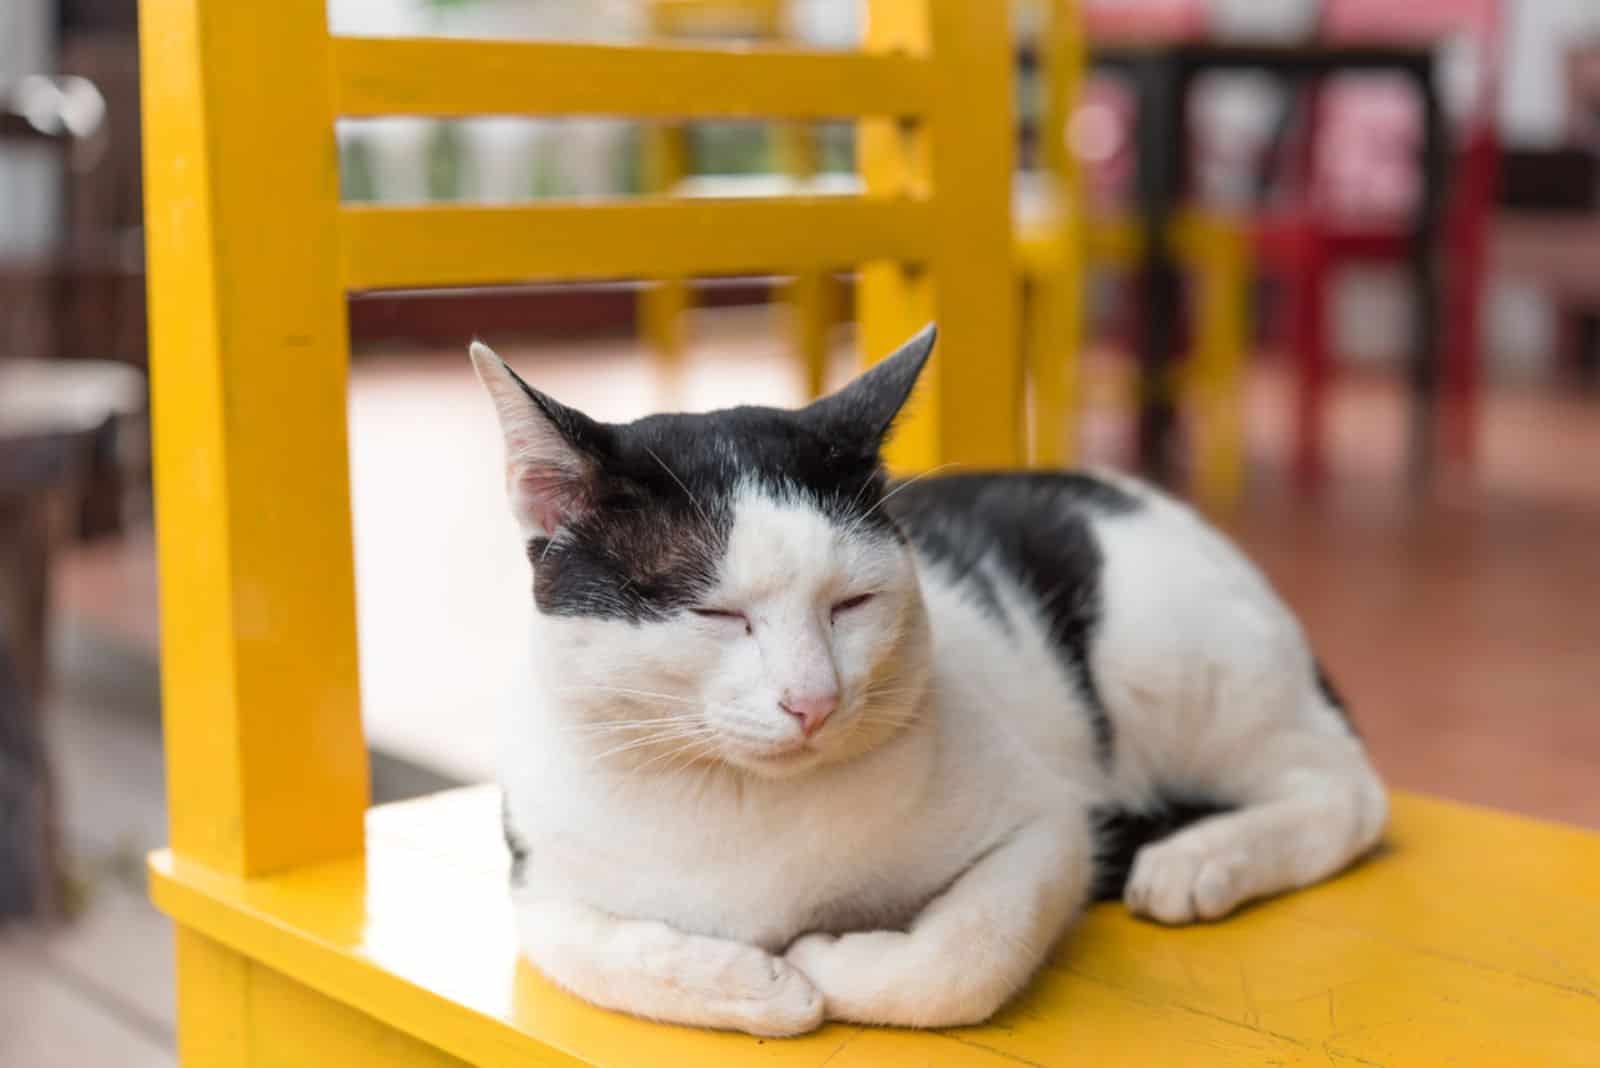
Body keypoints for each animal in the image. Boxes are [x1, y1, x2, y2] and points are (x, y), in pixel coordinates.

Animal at [473, 326, 1388, 1036]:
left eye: (852, 603)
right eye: (717, 614)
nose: (813, 701)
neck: (742, 806)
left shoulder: (1049, 825)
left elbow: (961, 958)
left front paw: (821, 965)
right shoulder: (535, 883)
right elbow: (596, 952)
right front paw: (756, 985)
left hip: (1177, 668)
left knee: (1348, 794)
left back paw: (1198, 860)